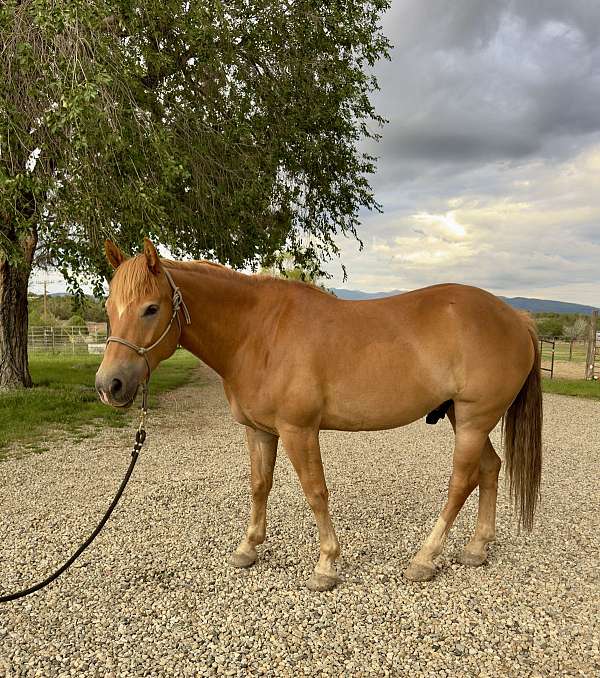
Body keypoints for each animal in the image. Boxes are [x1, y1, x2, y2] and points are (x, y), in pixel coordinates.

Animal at [96, 238, 542, 591]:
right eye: (109, 306)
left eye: (151, 308)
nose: (109, 385)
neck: (258, 333)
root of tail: (516, 317)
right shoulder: (259, 431)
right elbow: (259, 486)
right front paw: (248, 547)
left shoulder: (299, 430)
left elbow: (315, 492)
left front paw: (326, 565)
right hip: (464, 419)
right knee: (490, 468)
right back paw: (476, 548)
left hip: (473, 420)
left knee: (461, 483)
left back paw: (424, 558)